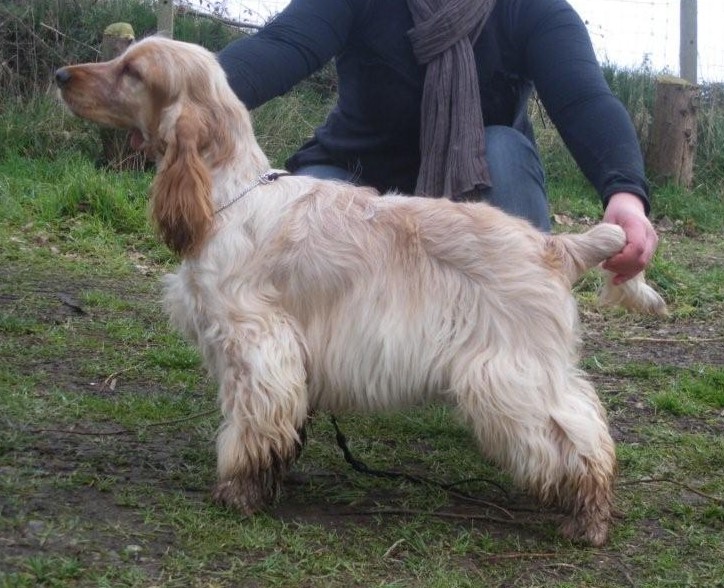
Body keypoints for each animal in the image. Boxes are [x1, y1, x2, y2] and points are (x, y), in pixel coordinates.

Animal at [55, 36, 666, 546]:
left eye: (133, 71)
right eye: (123, 57)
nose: (61, 74)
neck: (227, 194)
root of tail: (554, 245)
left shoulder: (254, 343)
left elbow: (249, 425)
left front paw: (237, 491)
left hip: (510, 373)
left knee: (583, 437)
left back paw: (587, 519)